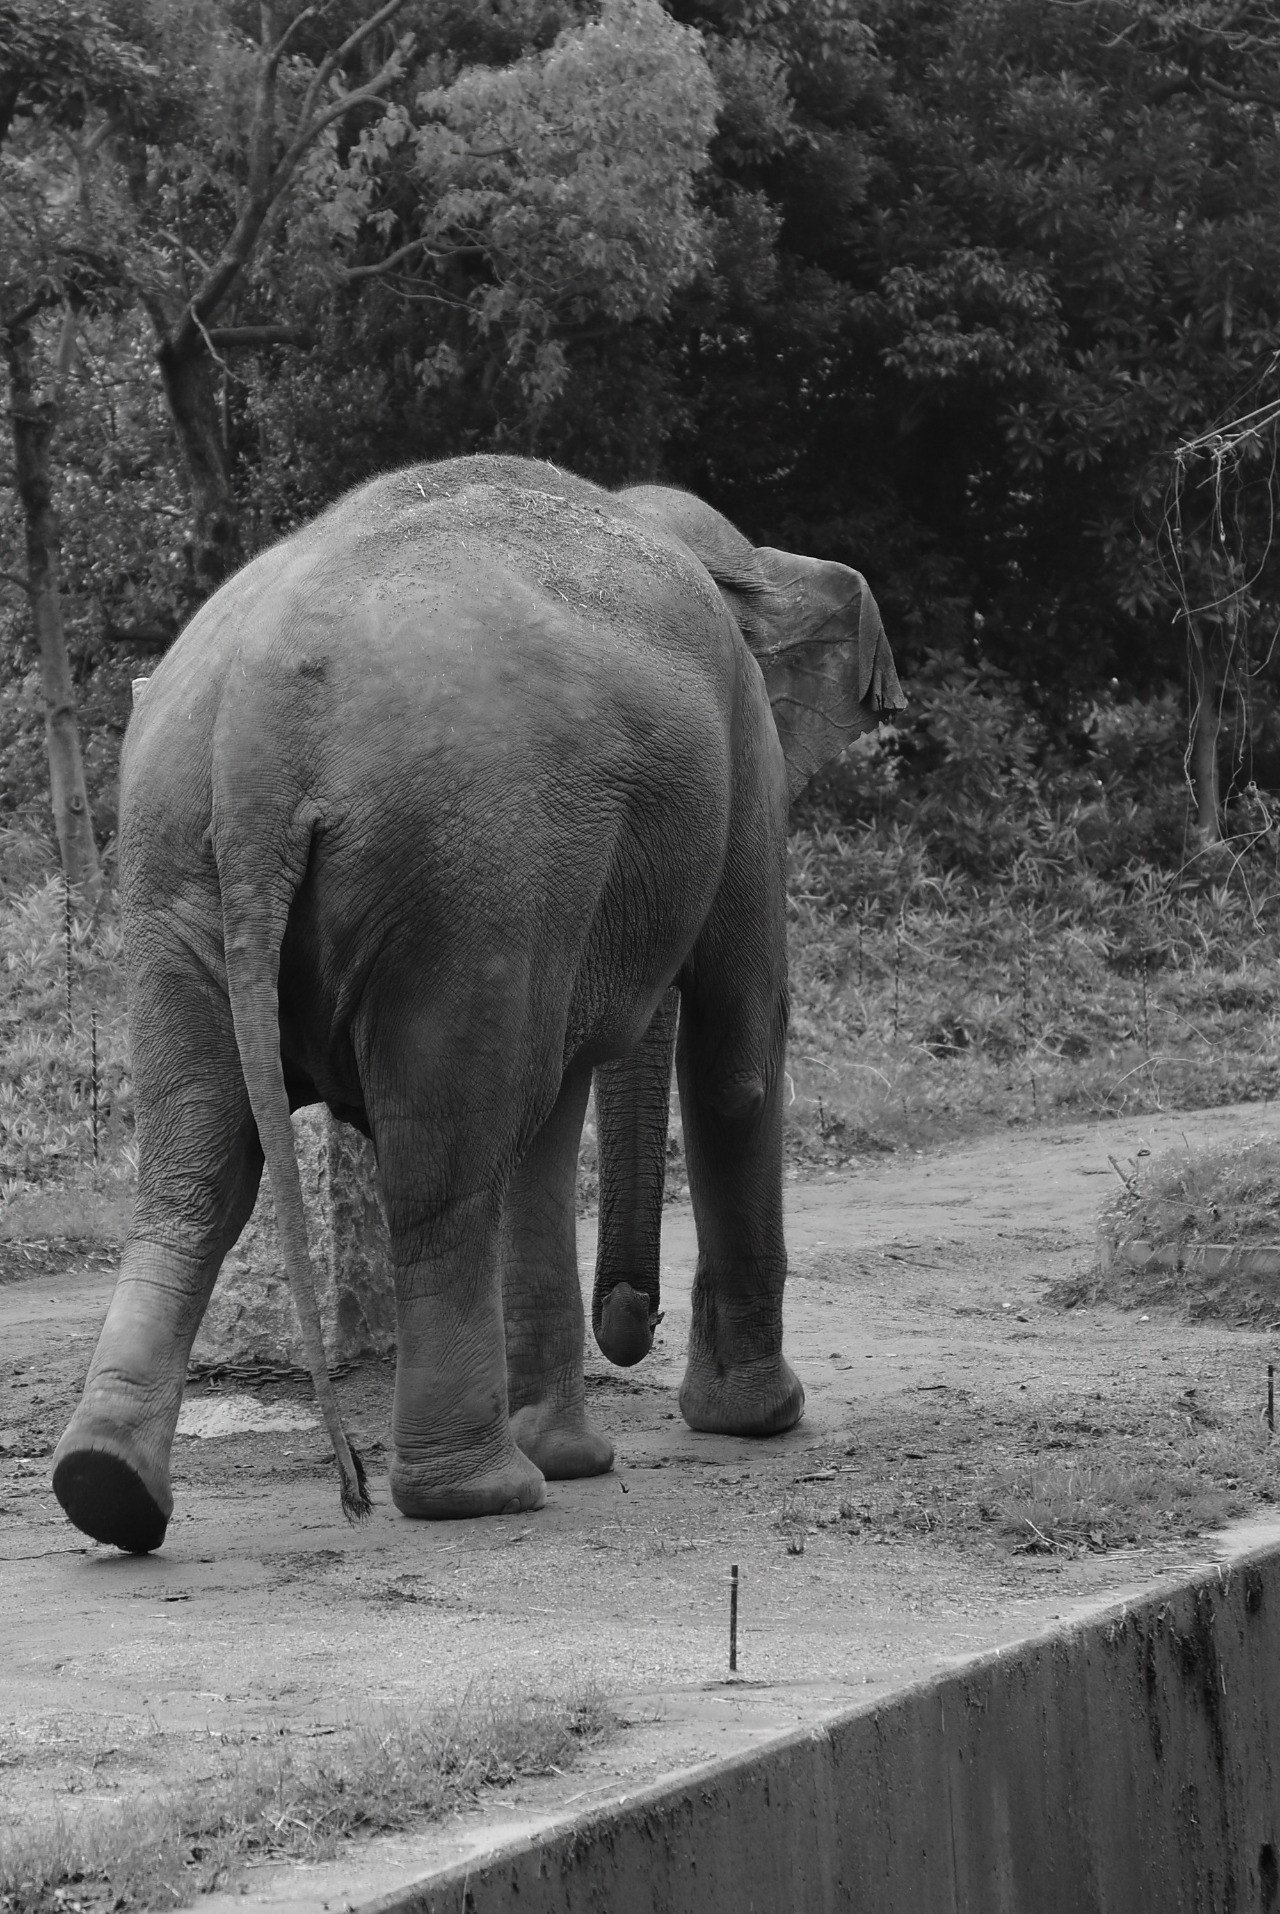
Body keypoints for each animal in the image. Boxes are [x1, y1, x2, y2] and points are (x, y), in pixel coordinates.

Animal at [52, 451, 899, 1554]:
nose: (633, 1323)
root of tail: (255, 736)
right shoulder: (743, 750)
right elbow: (736, 1054)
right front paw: (757, 1421)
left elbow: (554, 1109)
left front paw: (575, 1455)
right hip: (461, 870)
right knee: (442, 1165)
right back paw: (482, 1491)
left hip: (172, 867)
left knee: (197, 1166)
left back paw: (108, 1487)